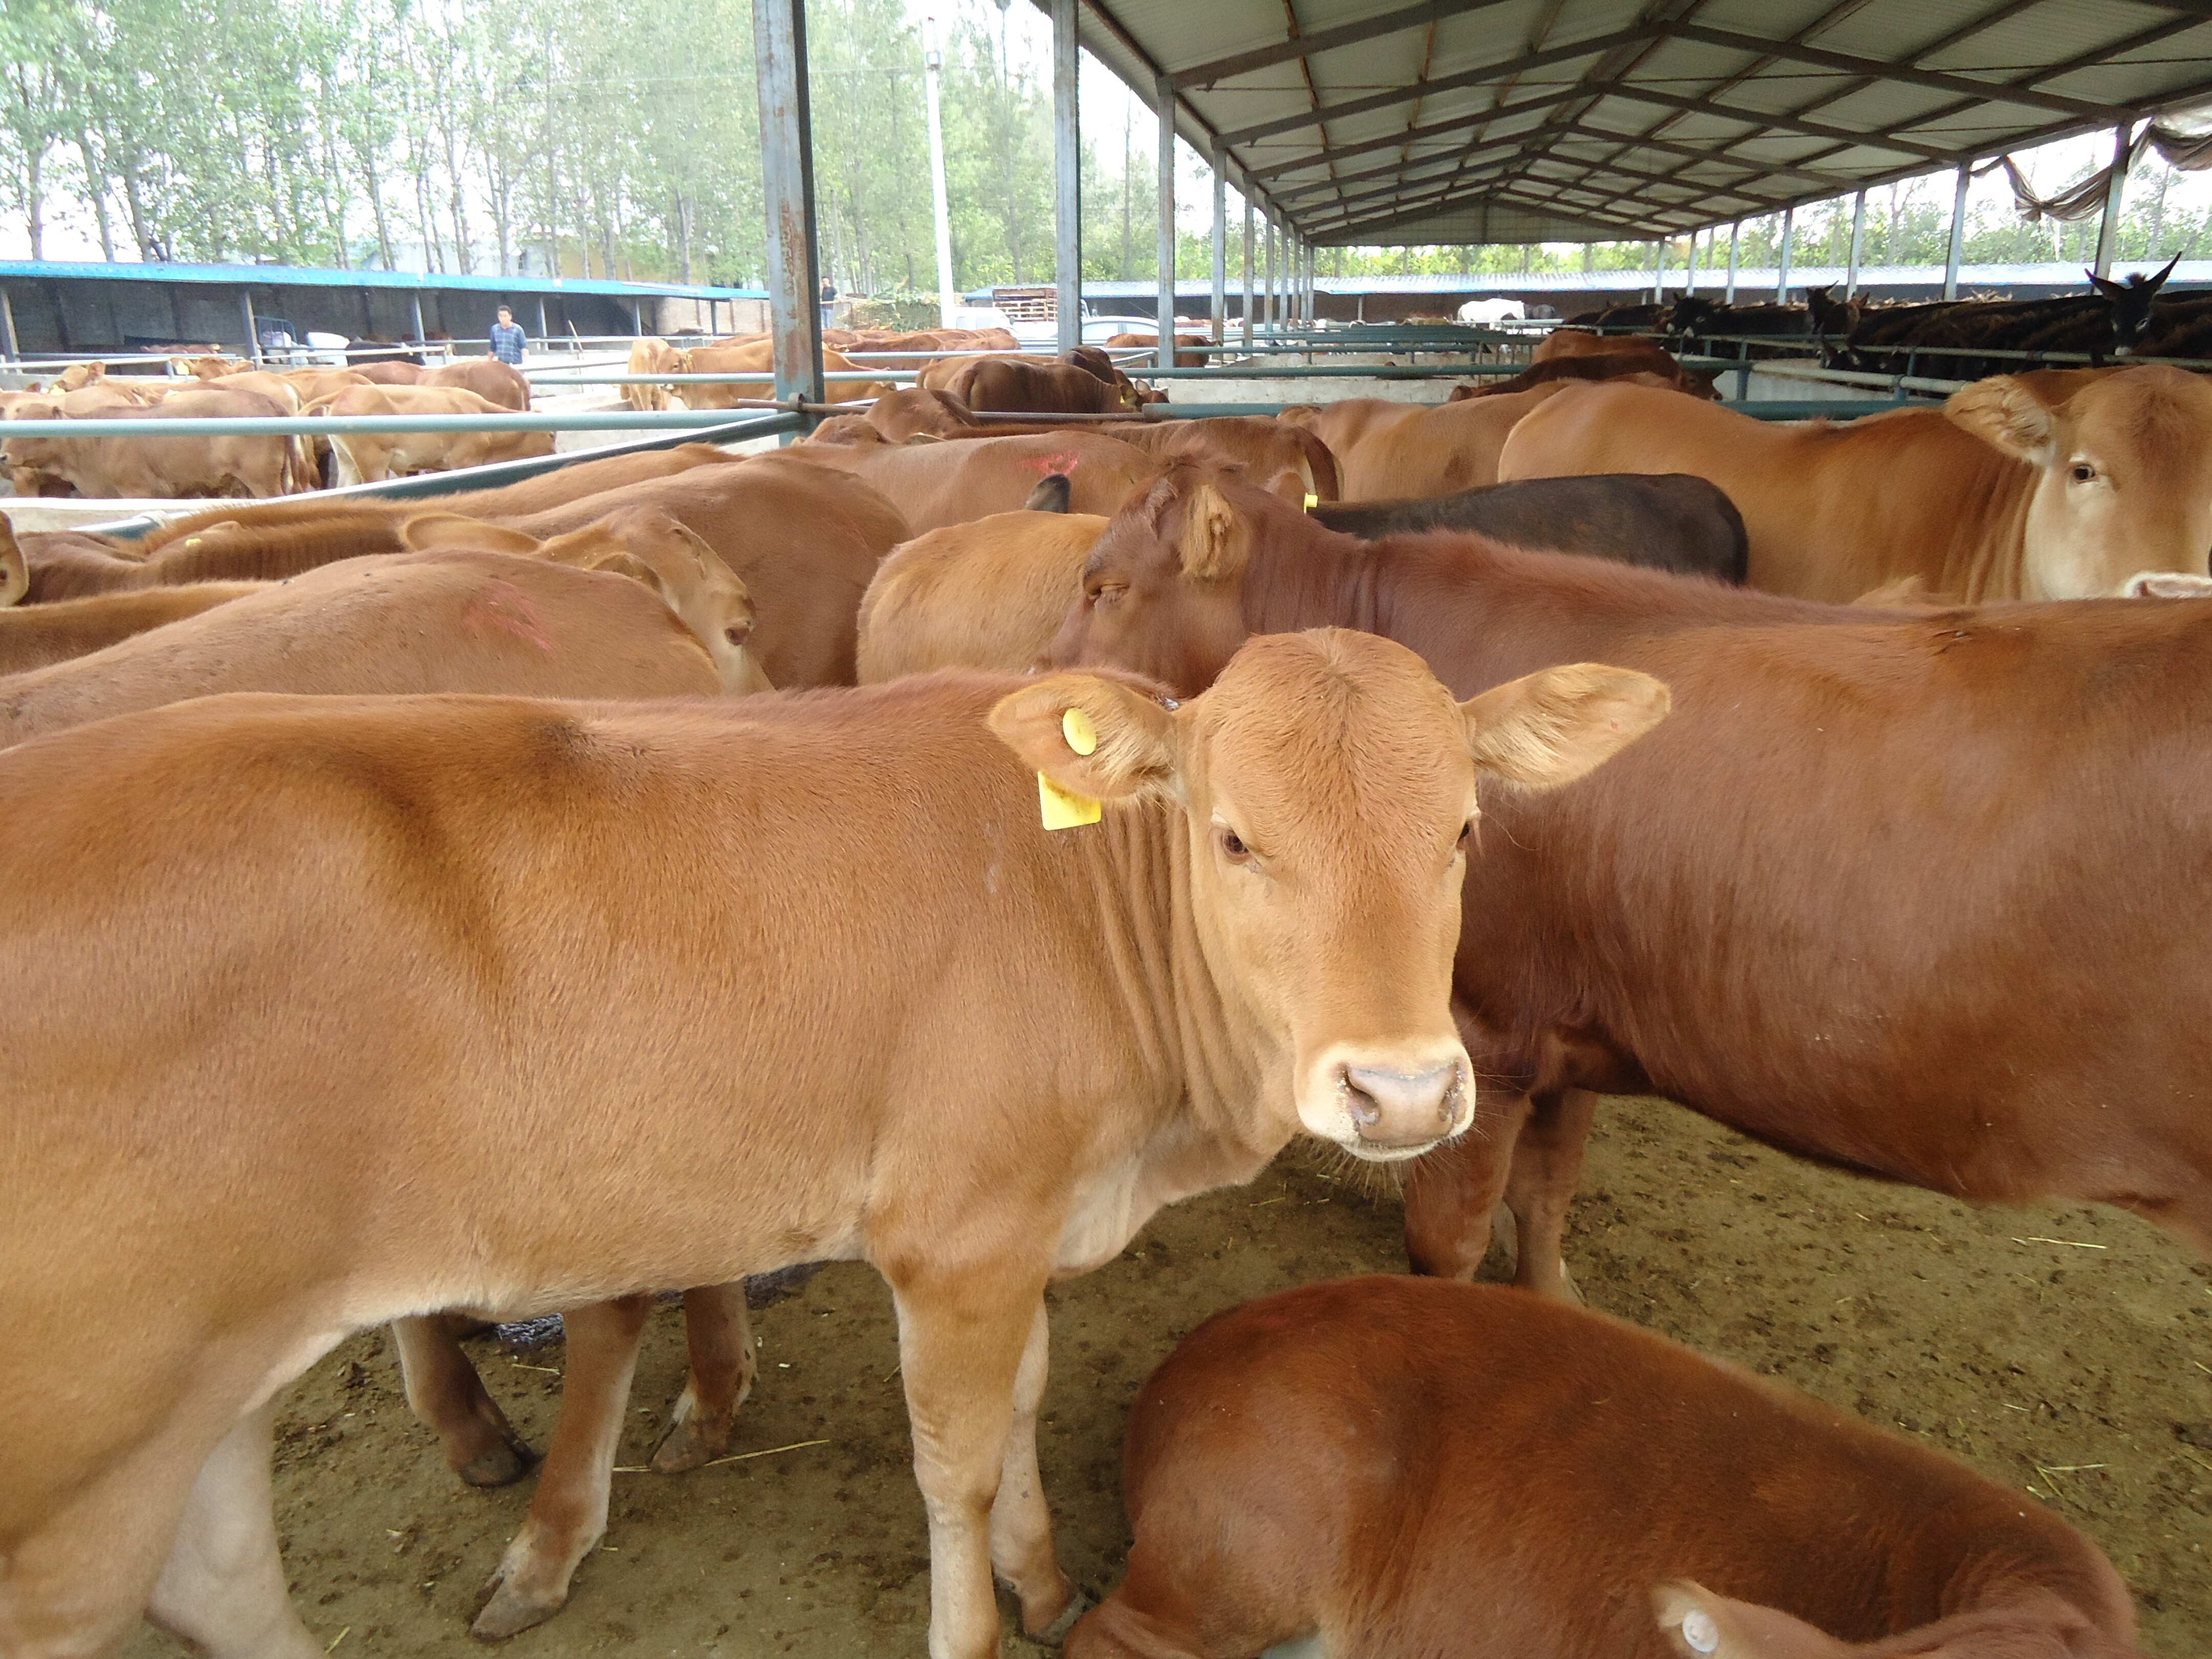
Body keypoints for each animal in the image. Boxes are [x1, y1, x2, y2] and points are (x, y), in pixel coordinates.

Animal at [0, 624, 1663, 1659]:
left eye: (1463, 831)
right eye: (1236, 836)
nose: (1402, 1093)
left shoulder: (1026, 1227)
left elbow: (1026, 1411)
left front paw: (1046, 1581)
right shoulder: (957, 1234)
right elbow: (956, 1462)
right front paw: (977, 1617)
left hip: (202, 1403)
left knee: (222, 1586)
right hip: (75, 1466)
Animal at [1039, 469, 2212, 1301]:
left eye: (1105, 584)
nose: (1042, 684)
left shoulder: (1485, 1032)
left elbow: (1451, 1236)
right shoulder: (1578, 1027)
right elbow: (1549, 1199)